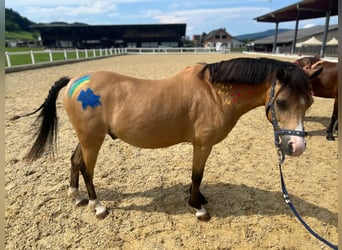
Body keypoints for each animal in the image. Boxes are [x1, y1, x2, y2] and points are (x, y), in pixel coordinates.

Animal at [14, 57, 320, 221]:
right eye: (281, 102)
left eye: (309, 103)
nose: (297, 147)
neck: (214, 93)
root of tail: (74, 82)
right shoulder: (202, 144)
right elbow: (197, 175)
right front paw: (198, 207)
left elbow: (198, 177)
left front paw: (200, 198)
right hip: (93, 140)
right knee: (88, 169)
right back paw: (97, 205)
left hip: (87, 137)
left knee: (75, 161)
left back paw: (76, 197)